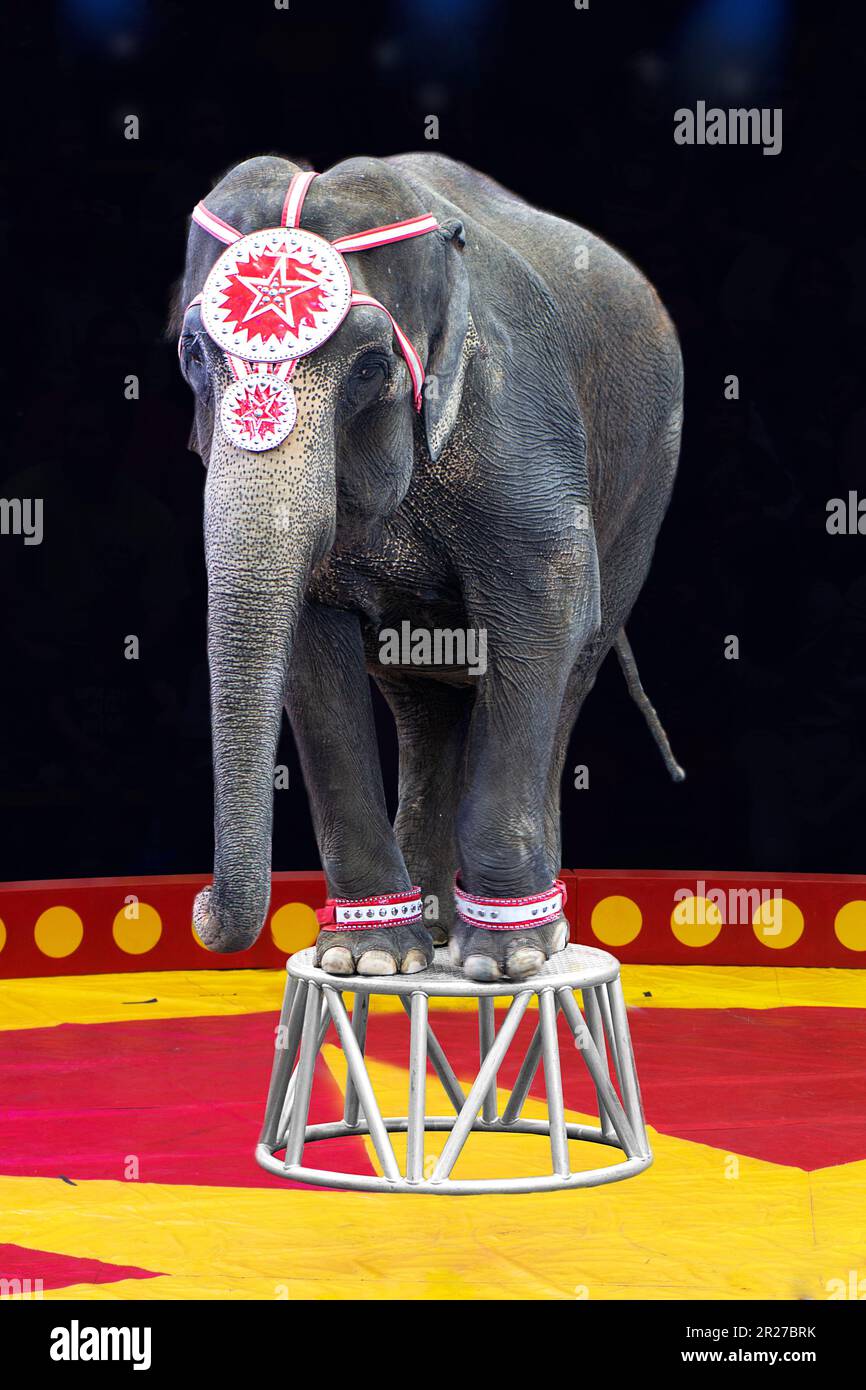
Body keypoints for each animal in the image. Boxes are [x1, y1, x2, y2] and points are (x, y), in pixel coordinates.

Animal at [173, 152, 683, 982]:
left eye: (370, 368)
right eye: (193, 356)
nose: (199, 909)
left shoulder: (515, 427)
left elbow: (545, 605)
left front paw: (506, 963)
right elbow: (310, 645)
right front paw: (366, 959)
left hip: (646, 487)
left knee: (571, 675)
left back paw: (538, 938)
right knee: (425, 702)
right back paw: (434, 932)